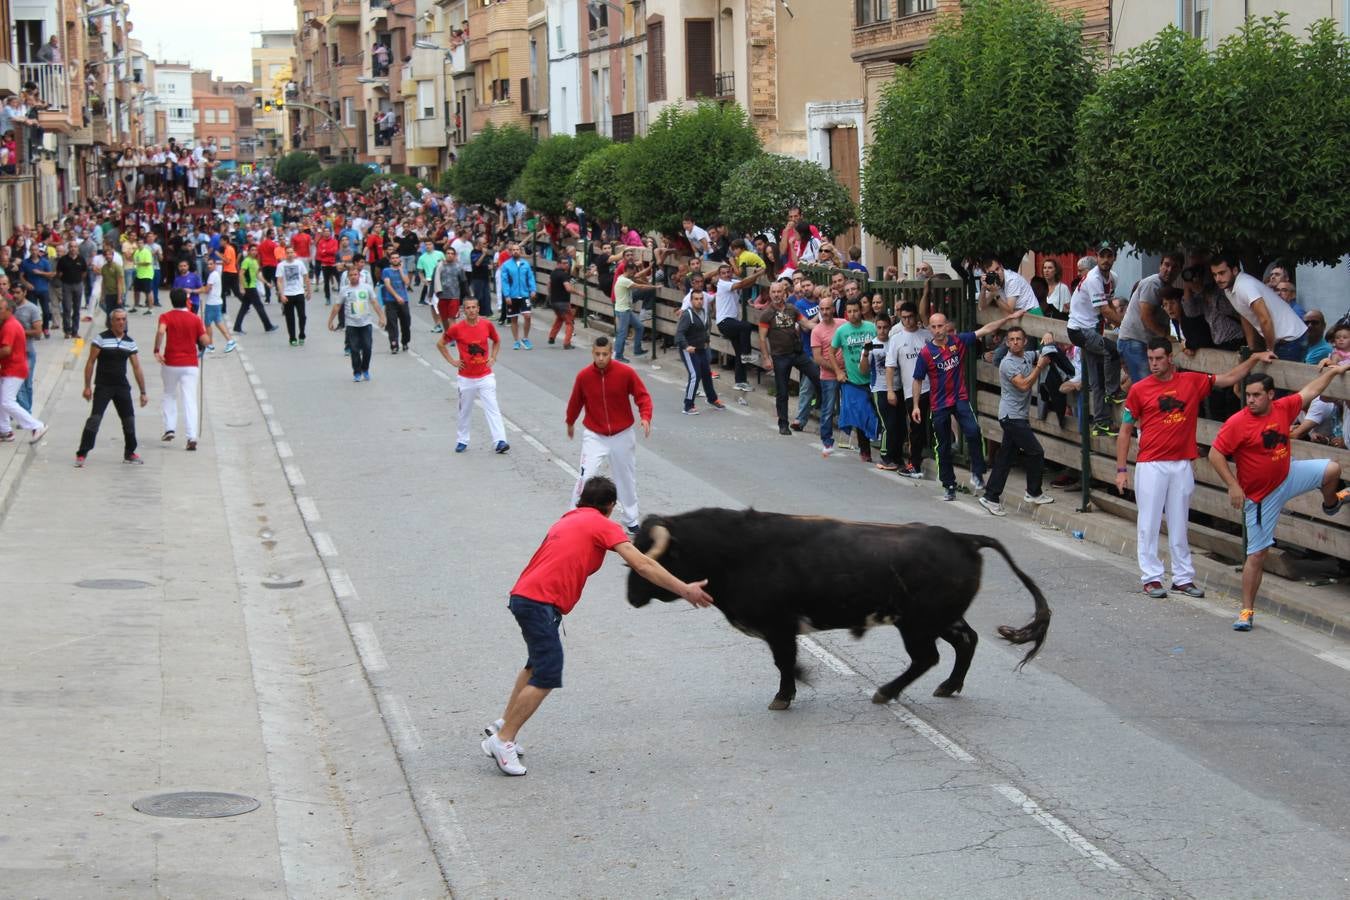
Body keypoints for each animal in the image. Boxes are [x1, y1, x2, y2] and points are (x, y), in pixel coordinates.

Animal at [626, 507, 1047, 712]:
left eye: (649, 552)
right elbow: (784, 661)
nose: (631, 597)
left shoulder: (779, 626)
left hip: (918, 624)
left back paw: (886, 692)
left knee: (928, 657)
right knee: (966, 641)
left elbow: (784, 661)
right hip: (939, 619)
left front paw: (785, 695)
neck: (730, 550)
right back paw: (948, 687)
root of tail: (963, 539)